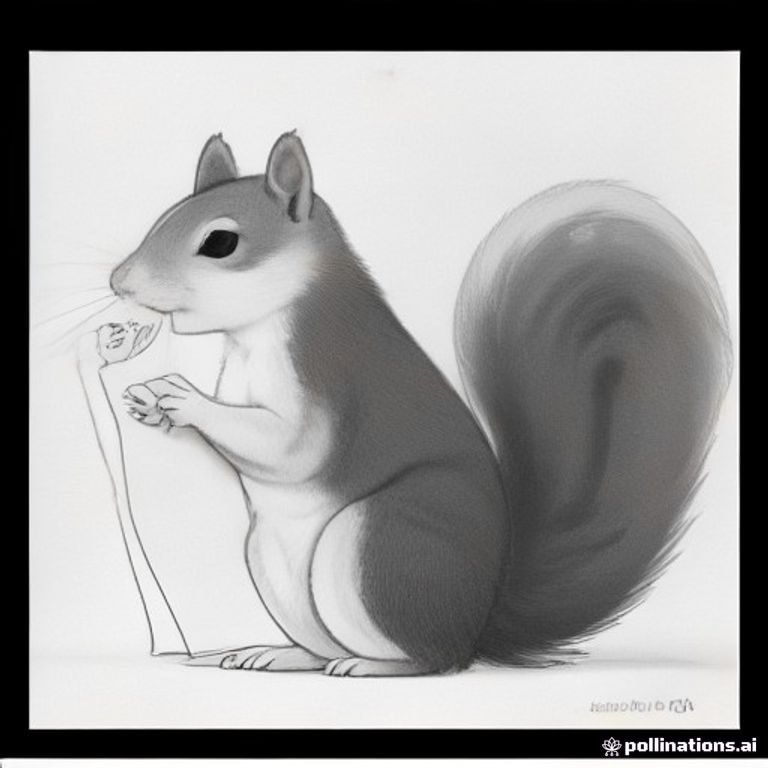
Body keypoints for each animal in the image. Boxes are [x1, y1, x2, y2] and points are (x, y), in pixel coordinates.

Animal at [109, 131, 732, 677]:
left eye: (220, 242)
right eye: (164, 217)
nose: (119, 281)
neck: (257, 331)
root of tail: (475, 626)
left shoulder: (331, 374)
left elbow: (289, 445)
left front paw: (180, 397)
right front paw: (148, 404)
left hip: (383, 542)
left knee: (434, 660)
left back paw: (371, 664)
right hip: (272, 563)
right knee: (325, 643)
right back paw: (281, 654)